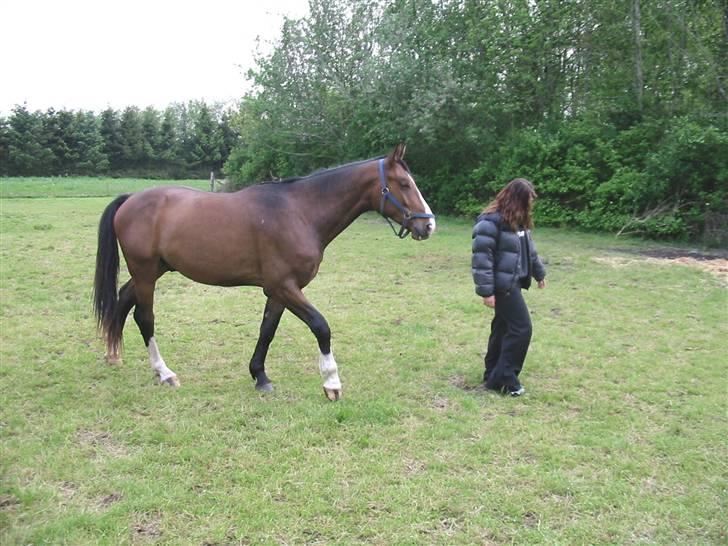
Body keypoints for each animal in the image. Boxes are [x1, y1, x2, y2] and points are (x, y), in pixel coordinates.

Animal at [91, 143, 432, 400]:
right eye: (404, 184)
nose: (428, 225)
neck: (299, 213)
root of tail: (131, 199)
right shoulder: (285, 286)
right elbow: (321, 326)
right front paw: (331, 383)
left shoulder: (279, 291)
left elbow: (267, 330)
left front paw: (260, 376)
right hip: (146, 273)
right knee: (144, 317)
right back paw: (164, 373)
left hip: (153, 271)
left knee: (124, 298)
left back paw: (113, 354)